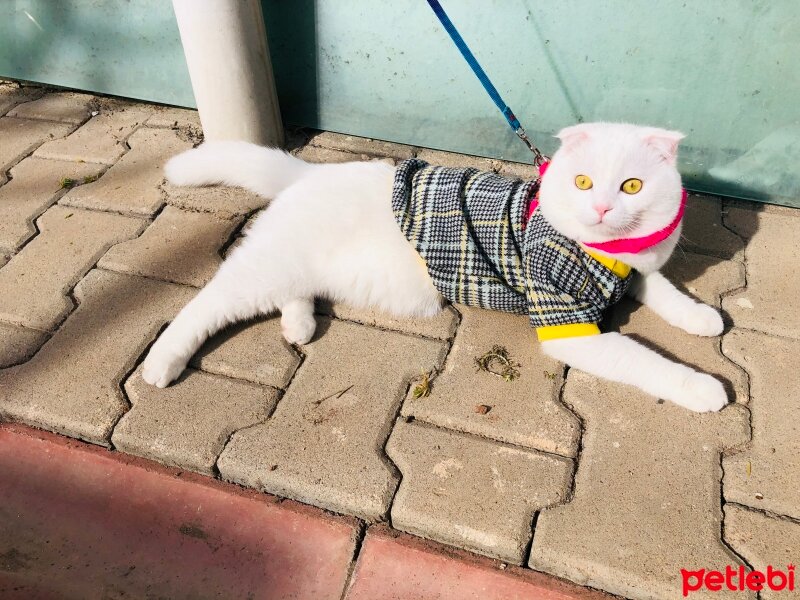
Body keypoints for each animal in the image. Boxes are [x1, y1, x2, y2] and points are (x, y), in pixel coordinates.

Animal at [141, 122, 728, 412]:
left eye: (632, 186)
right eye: (583, 182)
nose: (602, 208)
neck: (604, 255)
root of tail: (309, 173)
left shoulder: (627, 277)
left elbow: (663, 289)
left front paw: (700, 317)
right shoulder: (569, 326)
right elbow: (647, 361)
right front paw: (702, 387)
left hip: (299, 269)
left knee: (295, 293)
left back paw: (299, 325)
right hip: (266, 271)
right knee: (205, 304)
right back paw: (162, 362)